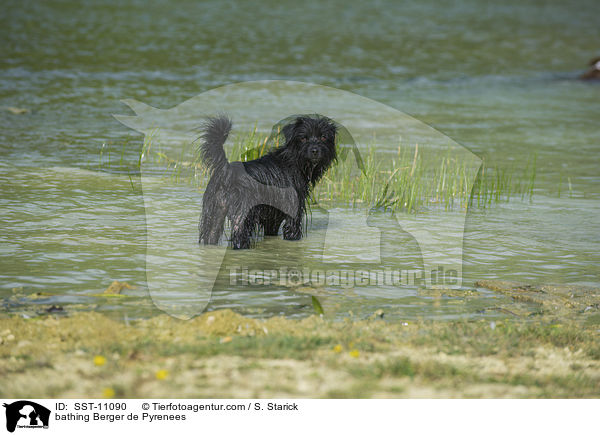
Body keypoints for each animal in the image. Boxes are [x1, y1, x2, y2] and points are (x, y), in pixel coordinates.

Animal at [199, 114, 336, 250]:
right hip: (242, 216)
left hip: (214, 215)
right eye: (303, 138)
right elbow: (292, 232)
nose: (315, 150)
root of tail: (226, 171)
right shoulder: (294, 213)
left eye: (323, 137)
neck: (294, 160)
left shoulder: (272, 218)